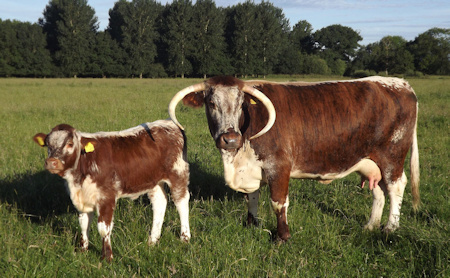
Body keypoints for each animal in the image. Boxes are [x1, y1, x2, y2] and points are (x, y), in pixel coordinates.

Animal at [32, 120, 191, 262]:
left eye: (70, 144)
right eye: (48, 145)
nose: (52, 162)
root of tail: (170, 123)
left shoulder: (107, 197)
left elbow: (103, 228)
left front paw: (107, 257)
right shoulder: (83, 198)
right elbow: (83, 224)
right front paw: (83, 250)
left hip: (178, 173)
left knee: (181, 202)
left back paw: (185, 237)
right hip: (154, 181)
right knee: (159, 203)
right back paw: (152, 240)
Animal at [169, 75, 418, 241]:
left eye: (241, 103)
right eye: (211, 103)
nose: (229, 139)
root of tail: (401, 84)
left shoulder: (279, 167)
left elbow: (278, 203)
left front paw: (282, 237)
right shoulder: (252, 168)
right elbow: (252, 197)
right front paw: (251, 224)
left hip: (392, 156)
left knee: (396, 187)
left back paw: (390, 228)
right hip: (371, 162)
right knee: (379, 191)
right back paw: (371, 225)